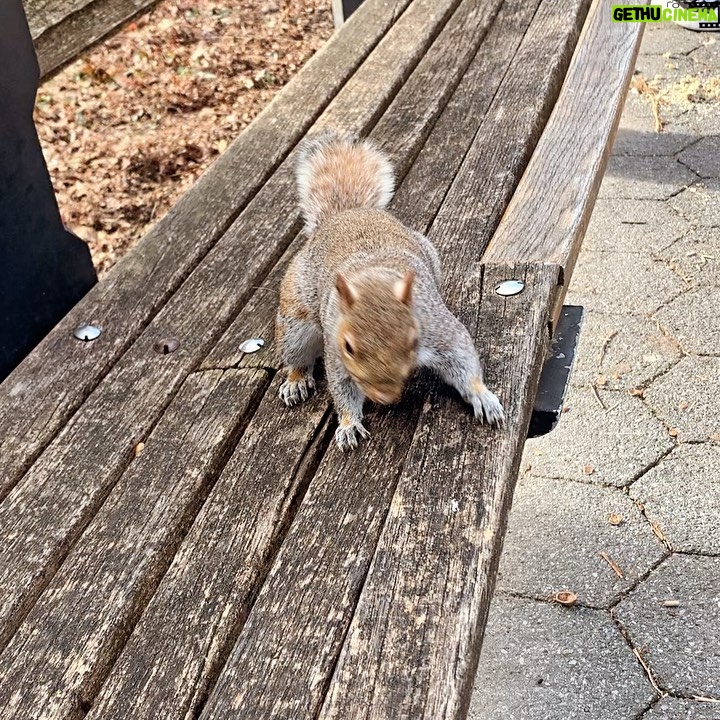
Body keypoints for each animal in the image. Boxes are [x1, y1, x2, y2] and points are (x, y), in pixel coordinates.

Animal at [276, 131, 506, 450]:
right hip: (294, 318)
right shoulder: (335, 351)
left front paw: (482, 396)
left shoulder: (437, 327)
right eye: (348, 346)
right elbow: (341, 388)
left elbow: (462, 357)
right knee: (296, 355)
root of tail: (347, 214)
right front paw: (348, 424)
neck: (373, 278)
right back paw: (296, 380)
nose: (384, 397)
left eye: (412, 339)